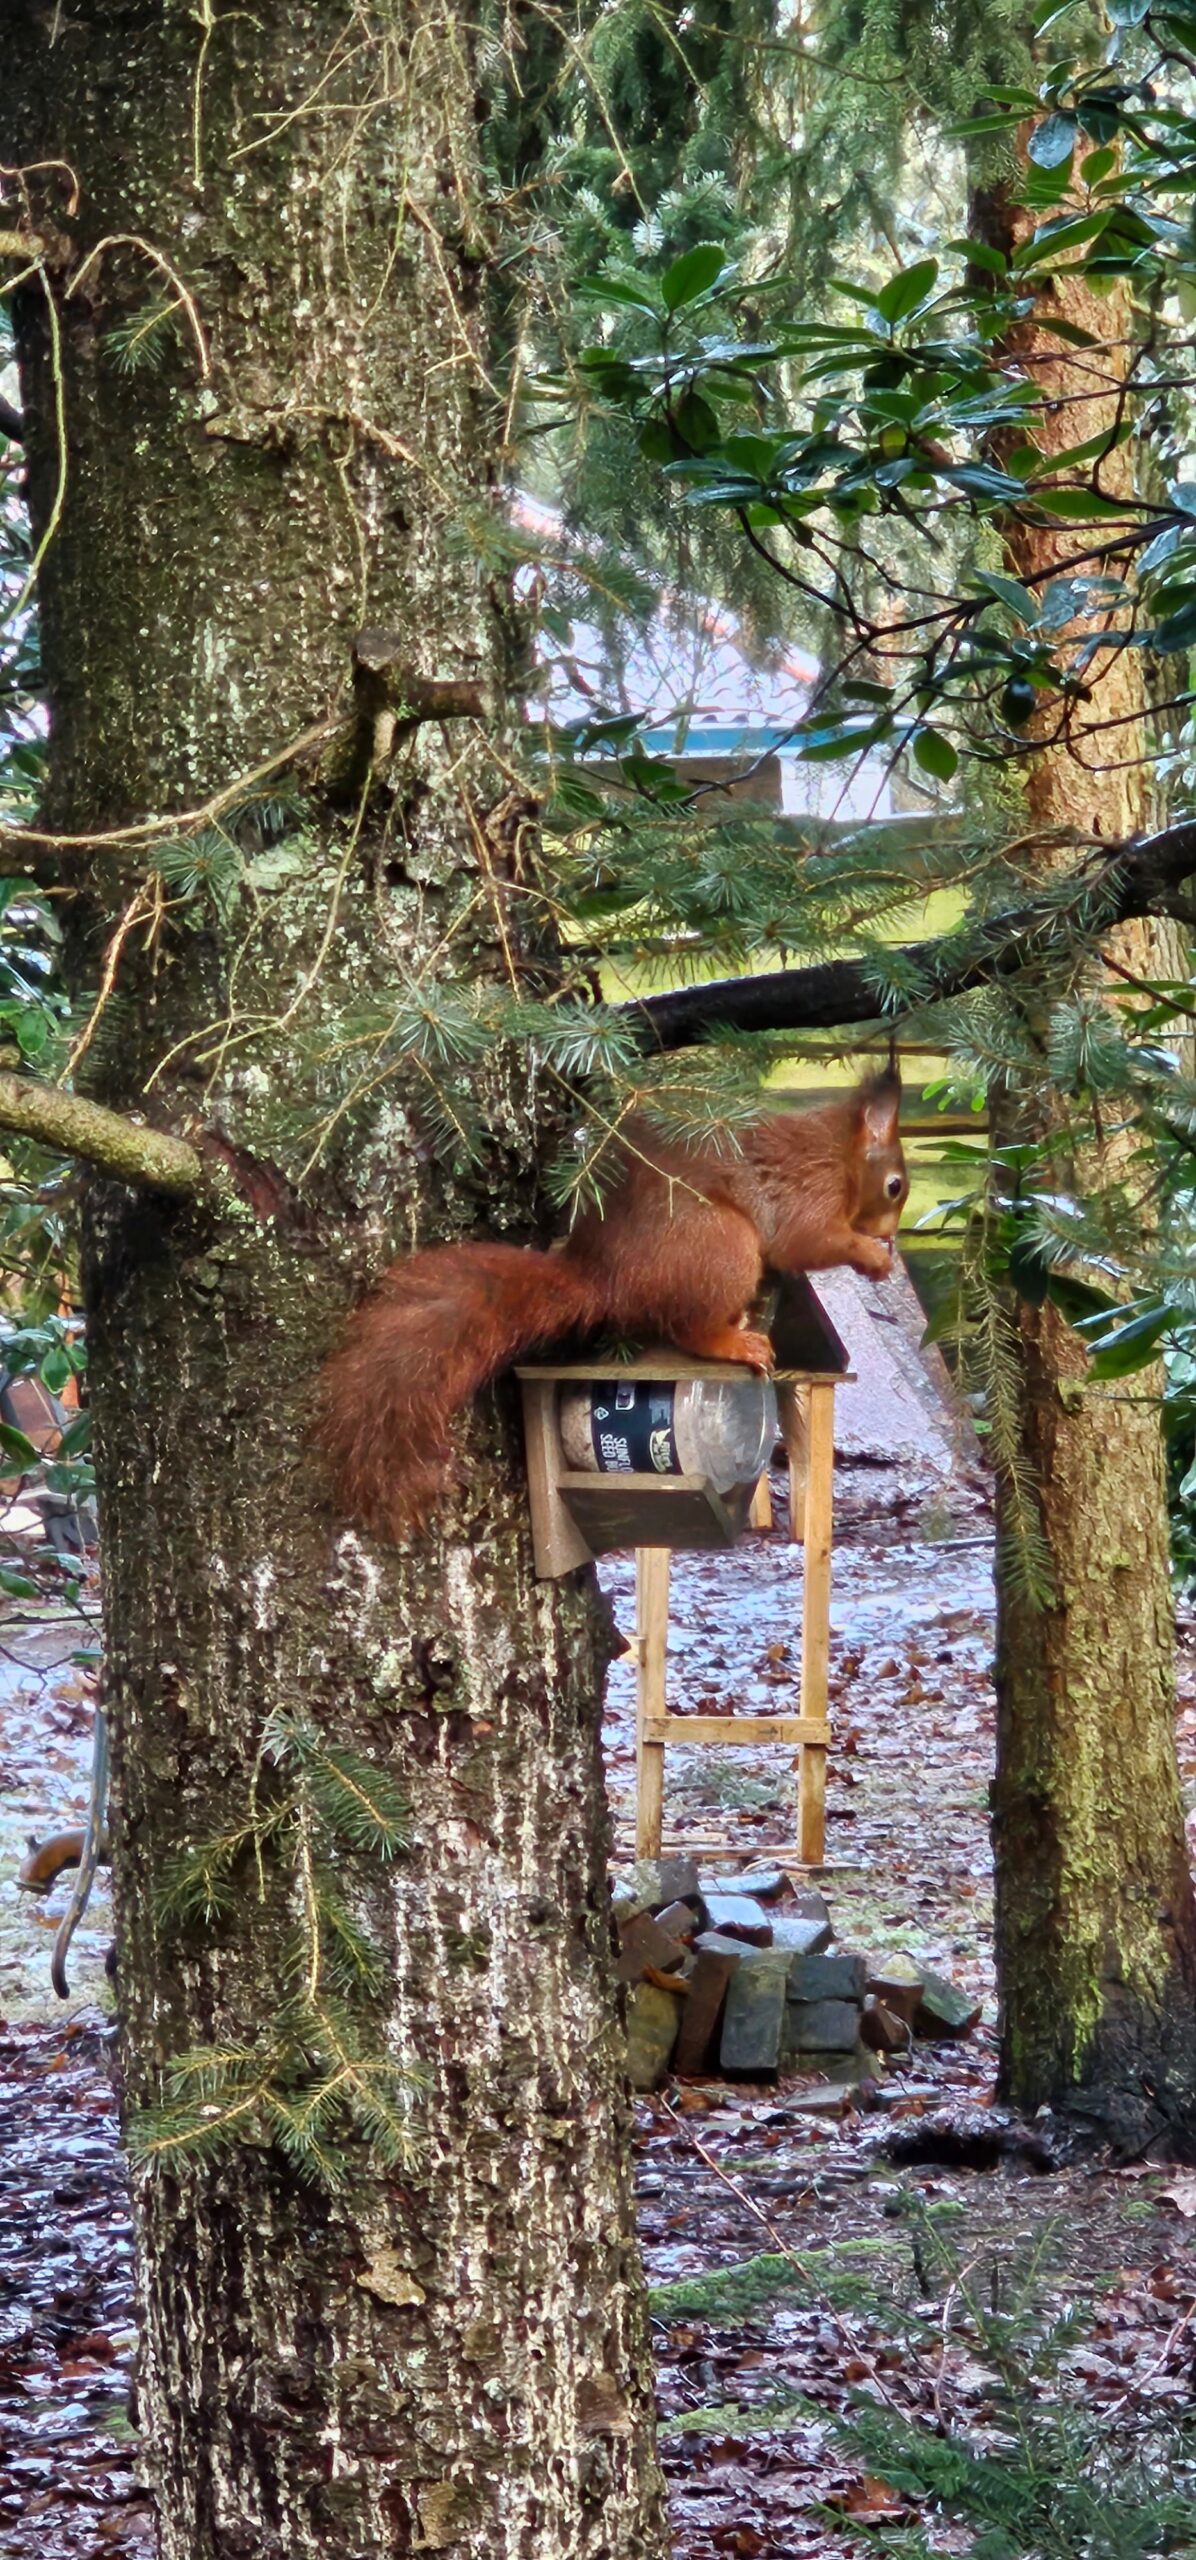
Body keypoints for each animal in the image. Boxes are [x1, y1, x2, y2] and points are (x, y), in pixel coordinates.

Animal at [317, 1071, 907, 1540]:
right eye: (896, 1187)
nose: (892, 1237)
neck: (838, 1155)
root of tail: (606, 1277)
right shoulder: (808, 1195)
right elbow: (807, 1242)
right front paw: (871, 1256)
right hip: (723, 1246)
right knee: (691, 1328)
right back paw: (736, 1341)